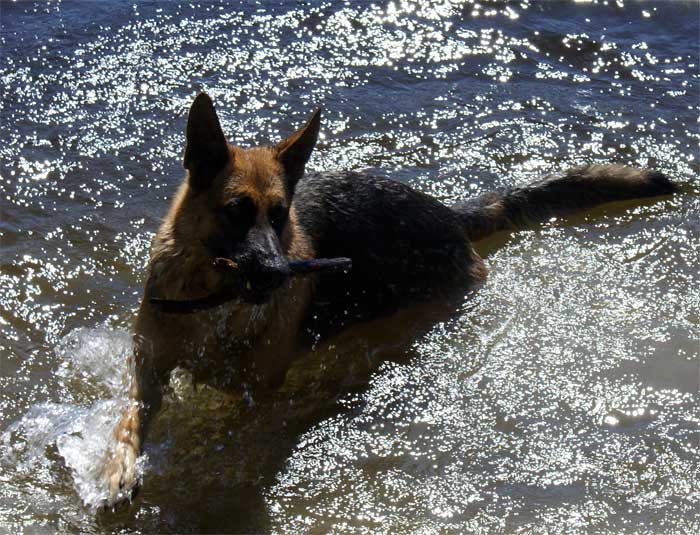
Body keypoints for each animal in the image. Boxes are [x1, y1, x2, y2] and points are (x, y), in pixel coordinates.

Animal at [101, 93, 676, 506]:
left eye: (280, 216)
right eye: (236, 212)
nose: (277, 275)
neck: (212, 301)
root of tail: (447, 214)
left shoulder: (255, 394)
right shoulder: (149, 365)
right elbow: (130, 418)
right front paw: (117, 470)